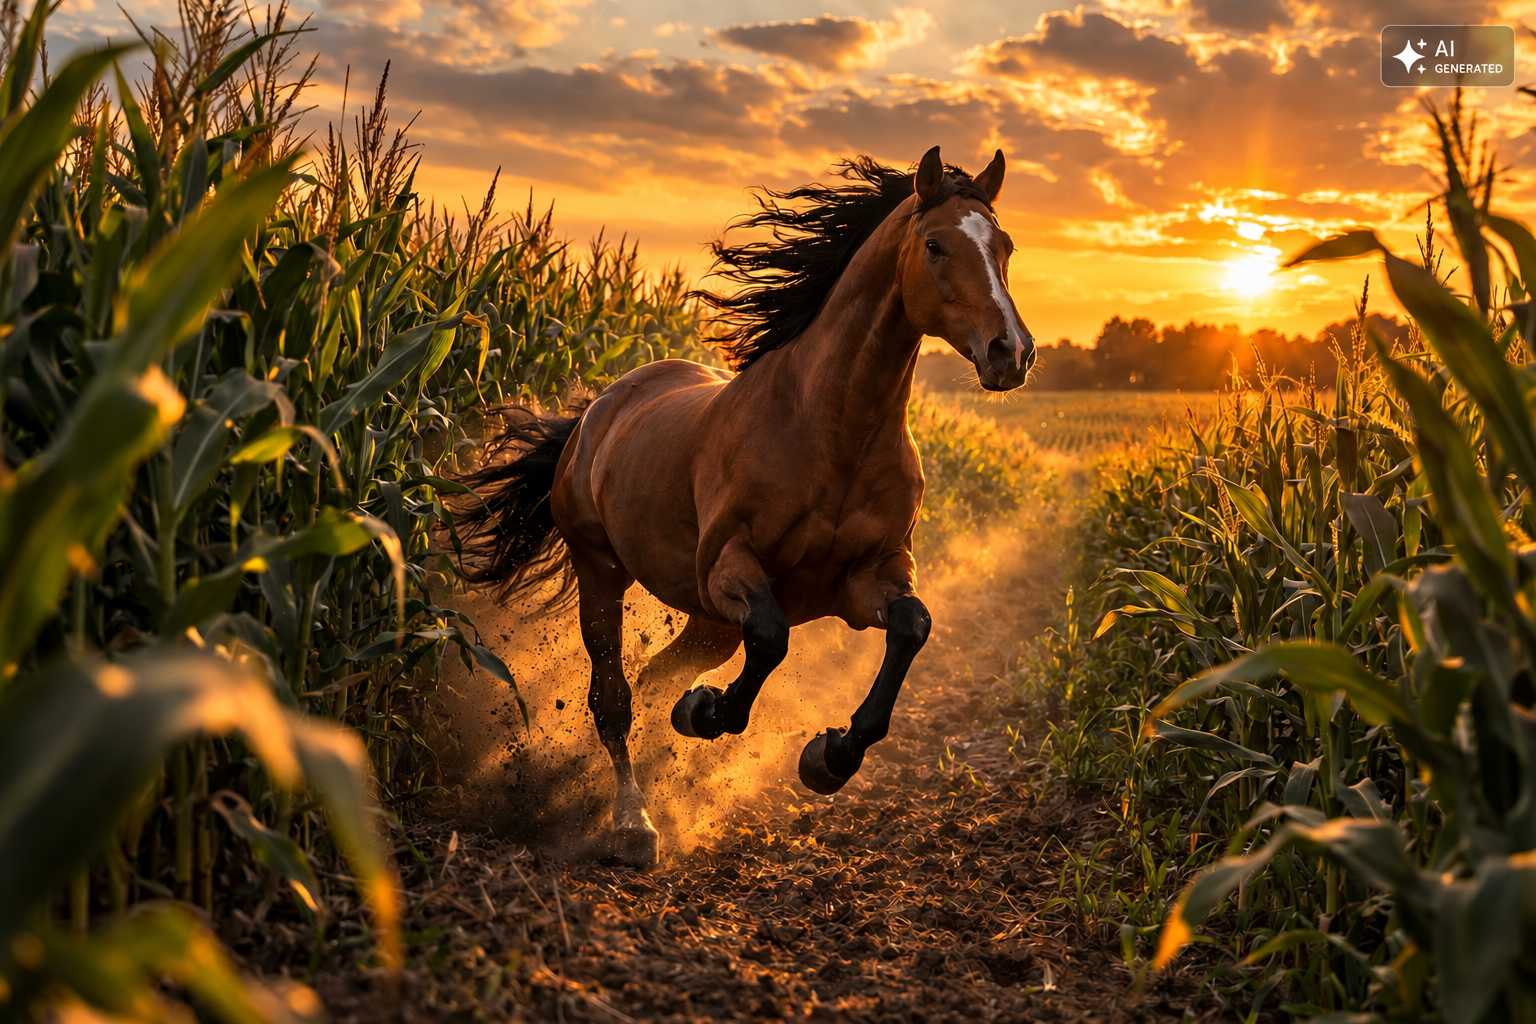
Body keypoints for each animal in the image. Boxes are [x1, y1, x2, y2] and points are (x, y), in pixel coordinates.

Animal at [457, 145, 1034, 866]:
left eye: (1004, 246)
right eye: (936, 245)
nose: (1011, 352)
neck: (831, 430)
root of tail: (597, 409)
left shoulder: (866, 578)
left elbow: (912, 627)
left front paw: (828, 757)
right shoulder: (731, 567)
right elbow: (771, 638)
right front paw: (708, 714)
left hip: (707, 622)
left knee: (654, 677)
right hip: (604, 573)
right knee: (614, 698)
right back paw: (633, 821)